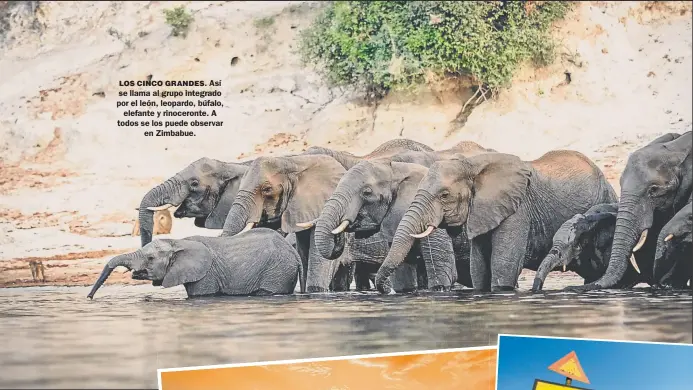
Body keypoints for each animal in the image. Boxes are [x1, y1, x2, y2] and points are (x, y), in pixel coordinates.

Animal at [85, 227, 302, 300]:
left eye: (151, 258)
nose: (89, 297)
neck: (177, 242)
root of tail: (292, 250)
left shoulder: (207, 275)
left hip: (278, 270)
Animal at [374, 149, 616, 292]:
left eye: (444, 195)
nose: (387, 290)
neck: (471, 165)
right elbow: (478, 267)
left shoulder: (518, 208)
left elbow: (503, 266)